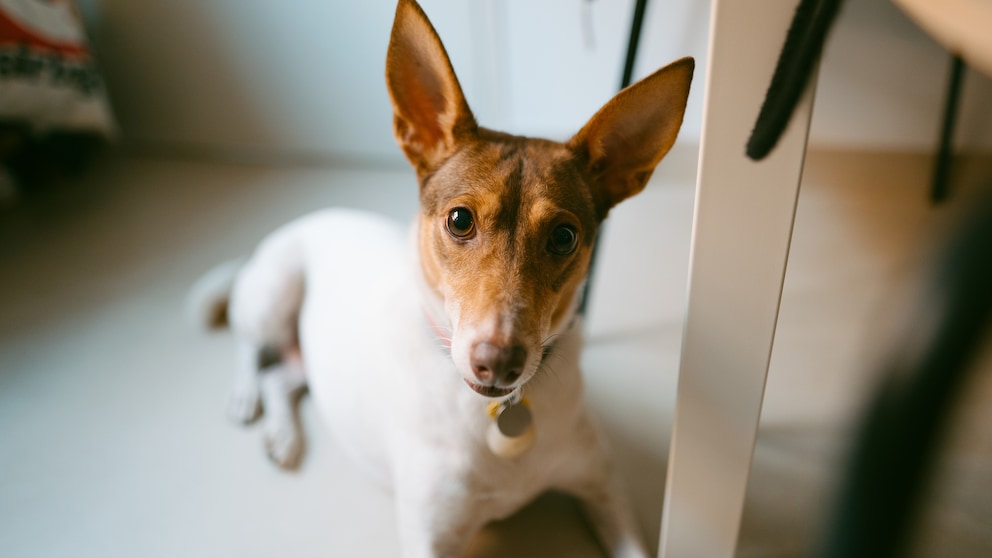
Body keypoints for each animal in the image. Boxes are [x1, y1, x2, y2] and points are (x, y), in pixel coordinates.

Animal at [192, 2, 688, 556]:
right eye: (459, 220)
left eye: (564, 237)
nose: (498, 361)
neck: (501, 416)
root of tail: (315, 216)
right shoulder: (430, 536)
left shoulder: (604, 488)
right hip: (274, 293)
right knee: (251, 349)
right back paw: (246, 397)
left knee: (283, 376)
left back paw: (283, 432)